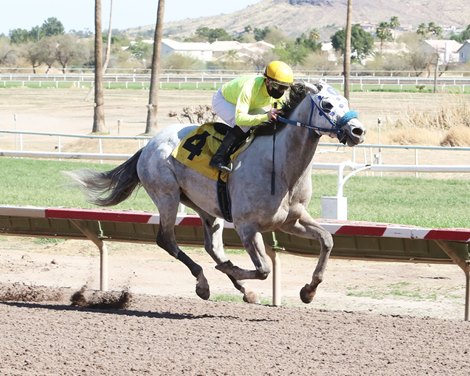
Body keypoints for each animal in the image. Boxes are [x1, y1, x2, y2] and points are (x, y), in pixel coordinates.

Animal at [68, 81, 366, 302]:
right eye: (327, 105)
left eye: (346, 103)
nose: (357, 131)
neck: (280, 165)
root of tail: (149, 145)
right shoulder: (247, 226)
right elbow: (264, 269)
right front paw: (234, 270)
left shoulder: (291, 220)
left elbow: (327, 240)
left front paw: (309, 291)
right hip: (167, 195)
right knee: (167, 240)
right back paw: (204, 284)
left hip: (206, 206)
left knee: (212, 247)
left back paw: (242, 289)